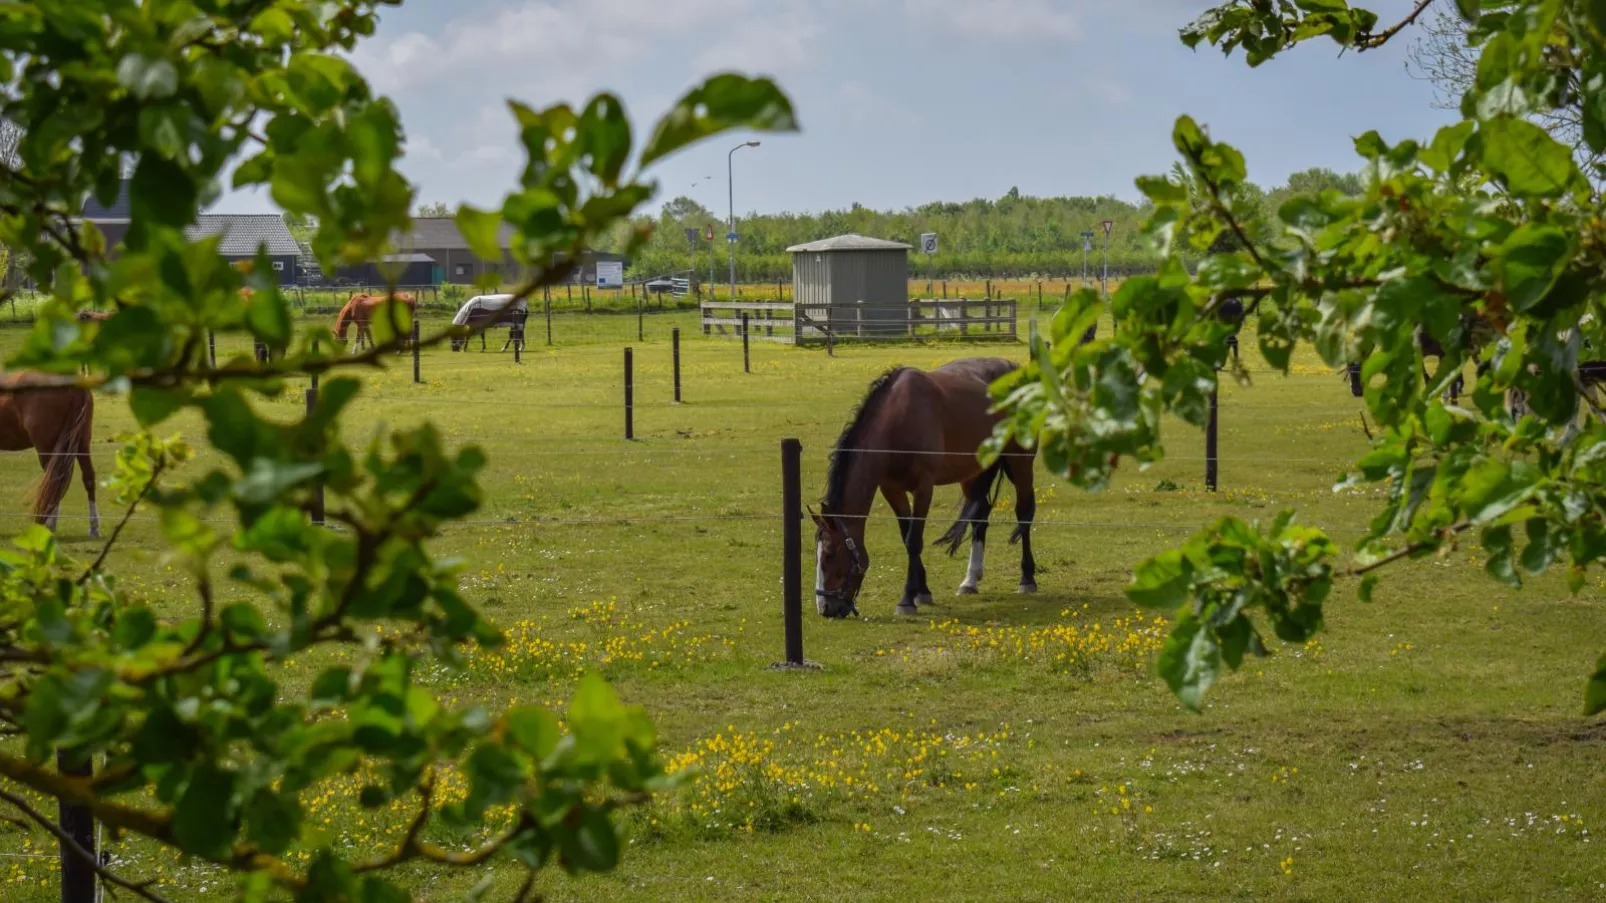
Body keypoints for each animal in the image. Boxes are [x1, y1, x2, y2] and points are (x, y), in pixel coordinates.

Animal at [0, 375, 99, 536]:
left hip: (47, 447)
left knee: (53, 481)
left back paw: (49, 525)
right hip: (82, 444)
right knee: (88, 478)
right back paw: (94, 528)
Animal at [815, 355, 1040, 613]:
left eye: (830, 554)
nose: (825, 608)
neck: (898, 421)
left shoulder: (924, 488)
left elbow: (914, 541)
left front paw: (906, 600)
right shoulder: (892, 489)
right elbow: (907, 536)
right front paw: (922, 591)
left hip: (1020, 464)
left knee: (1024, 512)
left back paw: (1027, 579)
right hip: (972, 472)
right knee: (979, 517)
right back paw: (970, 580)